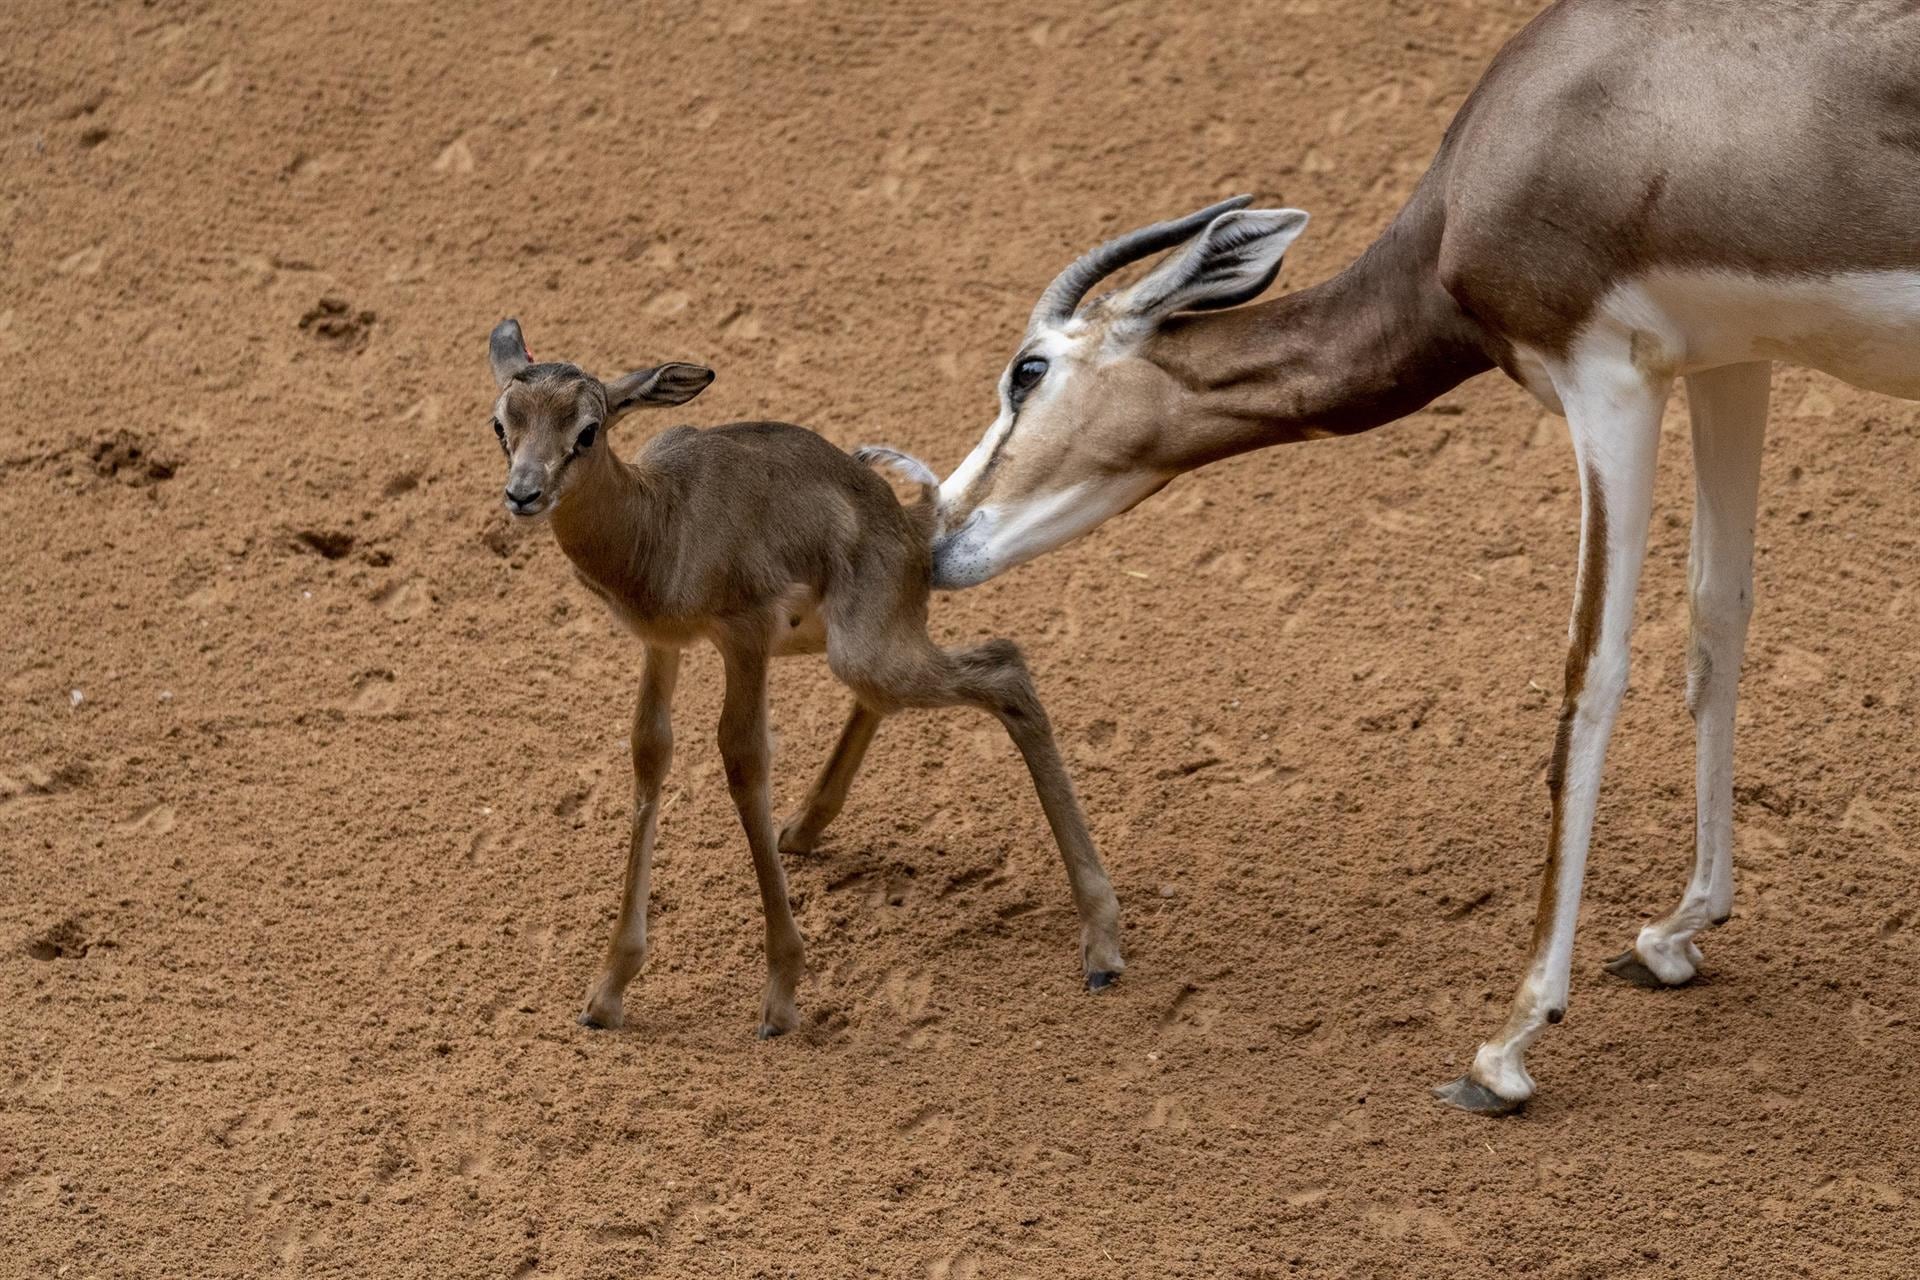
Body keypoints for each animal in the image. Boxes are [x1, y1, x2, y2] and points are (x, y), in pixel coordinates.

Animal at [480, 320, 1121, 1043]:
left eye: (587, 430)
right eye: (502, 424)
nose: (523, 494)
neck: (664, 521)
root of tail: (913, 525)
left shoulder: (746, 635)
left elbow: (743, 758)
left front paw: (782, 994)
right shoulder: (662, 645)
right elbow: (649, 752)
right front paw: (608, 989)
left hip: (866, 650)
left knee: (1006, 667)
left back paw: (1102, 945)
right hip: (857, 650)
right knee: (896, 695)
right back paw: (804, 829)